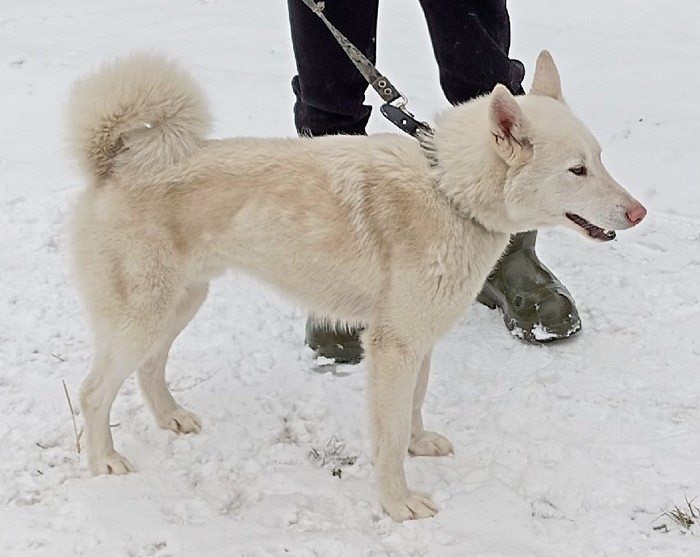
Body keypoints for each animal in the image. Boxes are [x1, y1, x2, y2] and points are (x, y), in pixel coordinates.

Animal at [68, 50, 646, 521]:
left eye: (599, 159)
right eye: (576, 170)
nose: (638, 213)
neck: (450, 193)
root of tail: (114, 162)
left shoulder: (417, 341)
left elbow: (413, 407)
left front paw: (418, 445)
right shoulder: (393, 347)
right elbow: (387, 439)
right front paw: (398, 504)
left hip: (180, 303)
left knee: (148, 368)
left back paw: (171, 419)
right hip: (145, 314)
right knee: (94, 391)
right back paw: (105, 461)